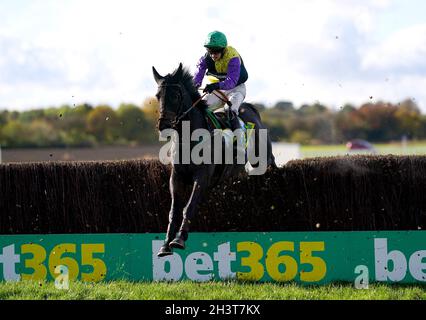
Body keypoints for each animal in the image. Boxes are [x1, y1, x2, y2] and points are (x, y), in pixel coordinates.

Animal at [153, 63, 276, 256]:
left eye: (175, 95)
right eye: (158, 96)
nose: (163, 126)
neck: (189, 138)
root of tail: (251, 110)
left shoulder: (202, 176)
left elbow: (189, 206)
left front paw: (179, 239)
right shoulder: (176, 176)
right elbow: (174, 211)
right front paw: (165, 245)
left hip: (263, 159)